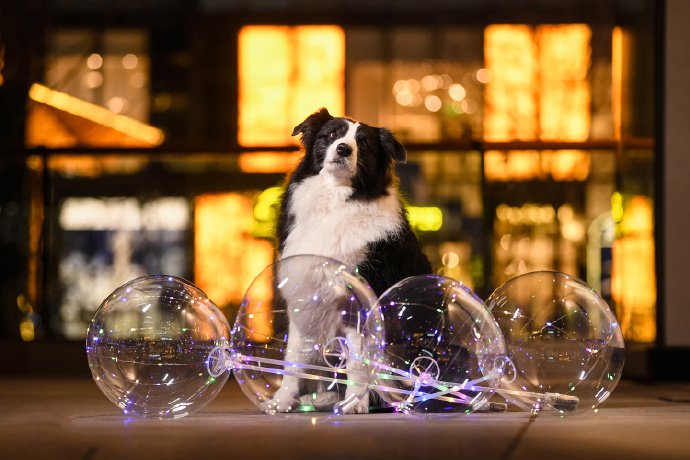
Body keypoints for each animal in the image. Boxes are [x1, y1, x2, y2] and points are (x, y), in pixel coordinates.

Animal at [268, 108, 430, 414]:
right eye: (332, 134)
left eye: (364, 143)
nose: (344, 148)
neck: (336, 201)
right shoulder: (304, 292)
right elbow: (293, 355)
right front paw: (283, 399)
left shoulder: (360, 298)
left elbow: (358, 362)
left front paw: (355, 402)